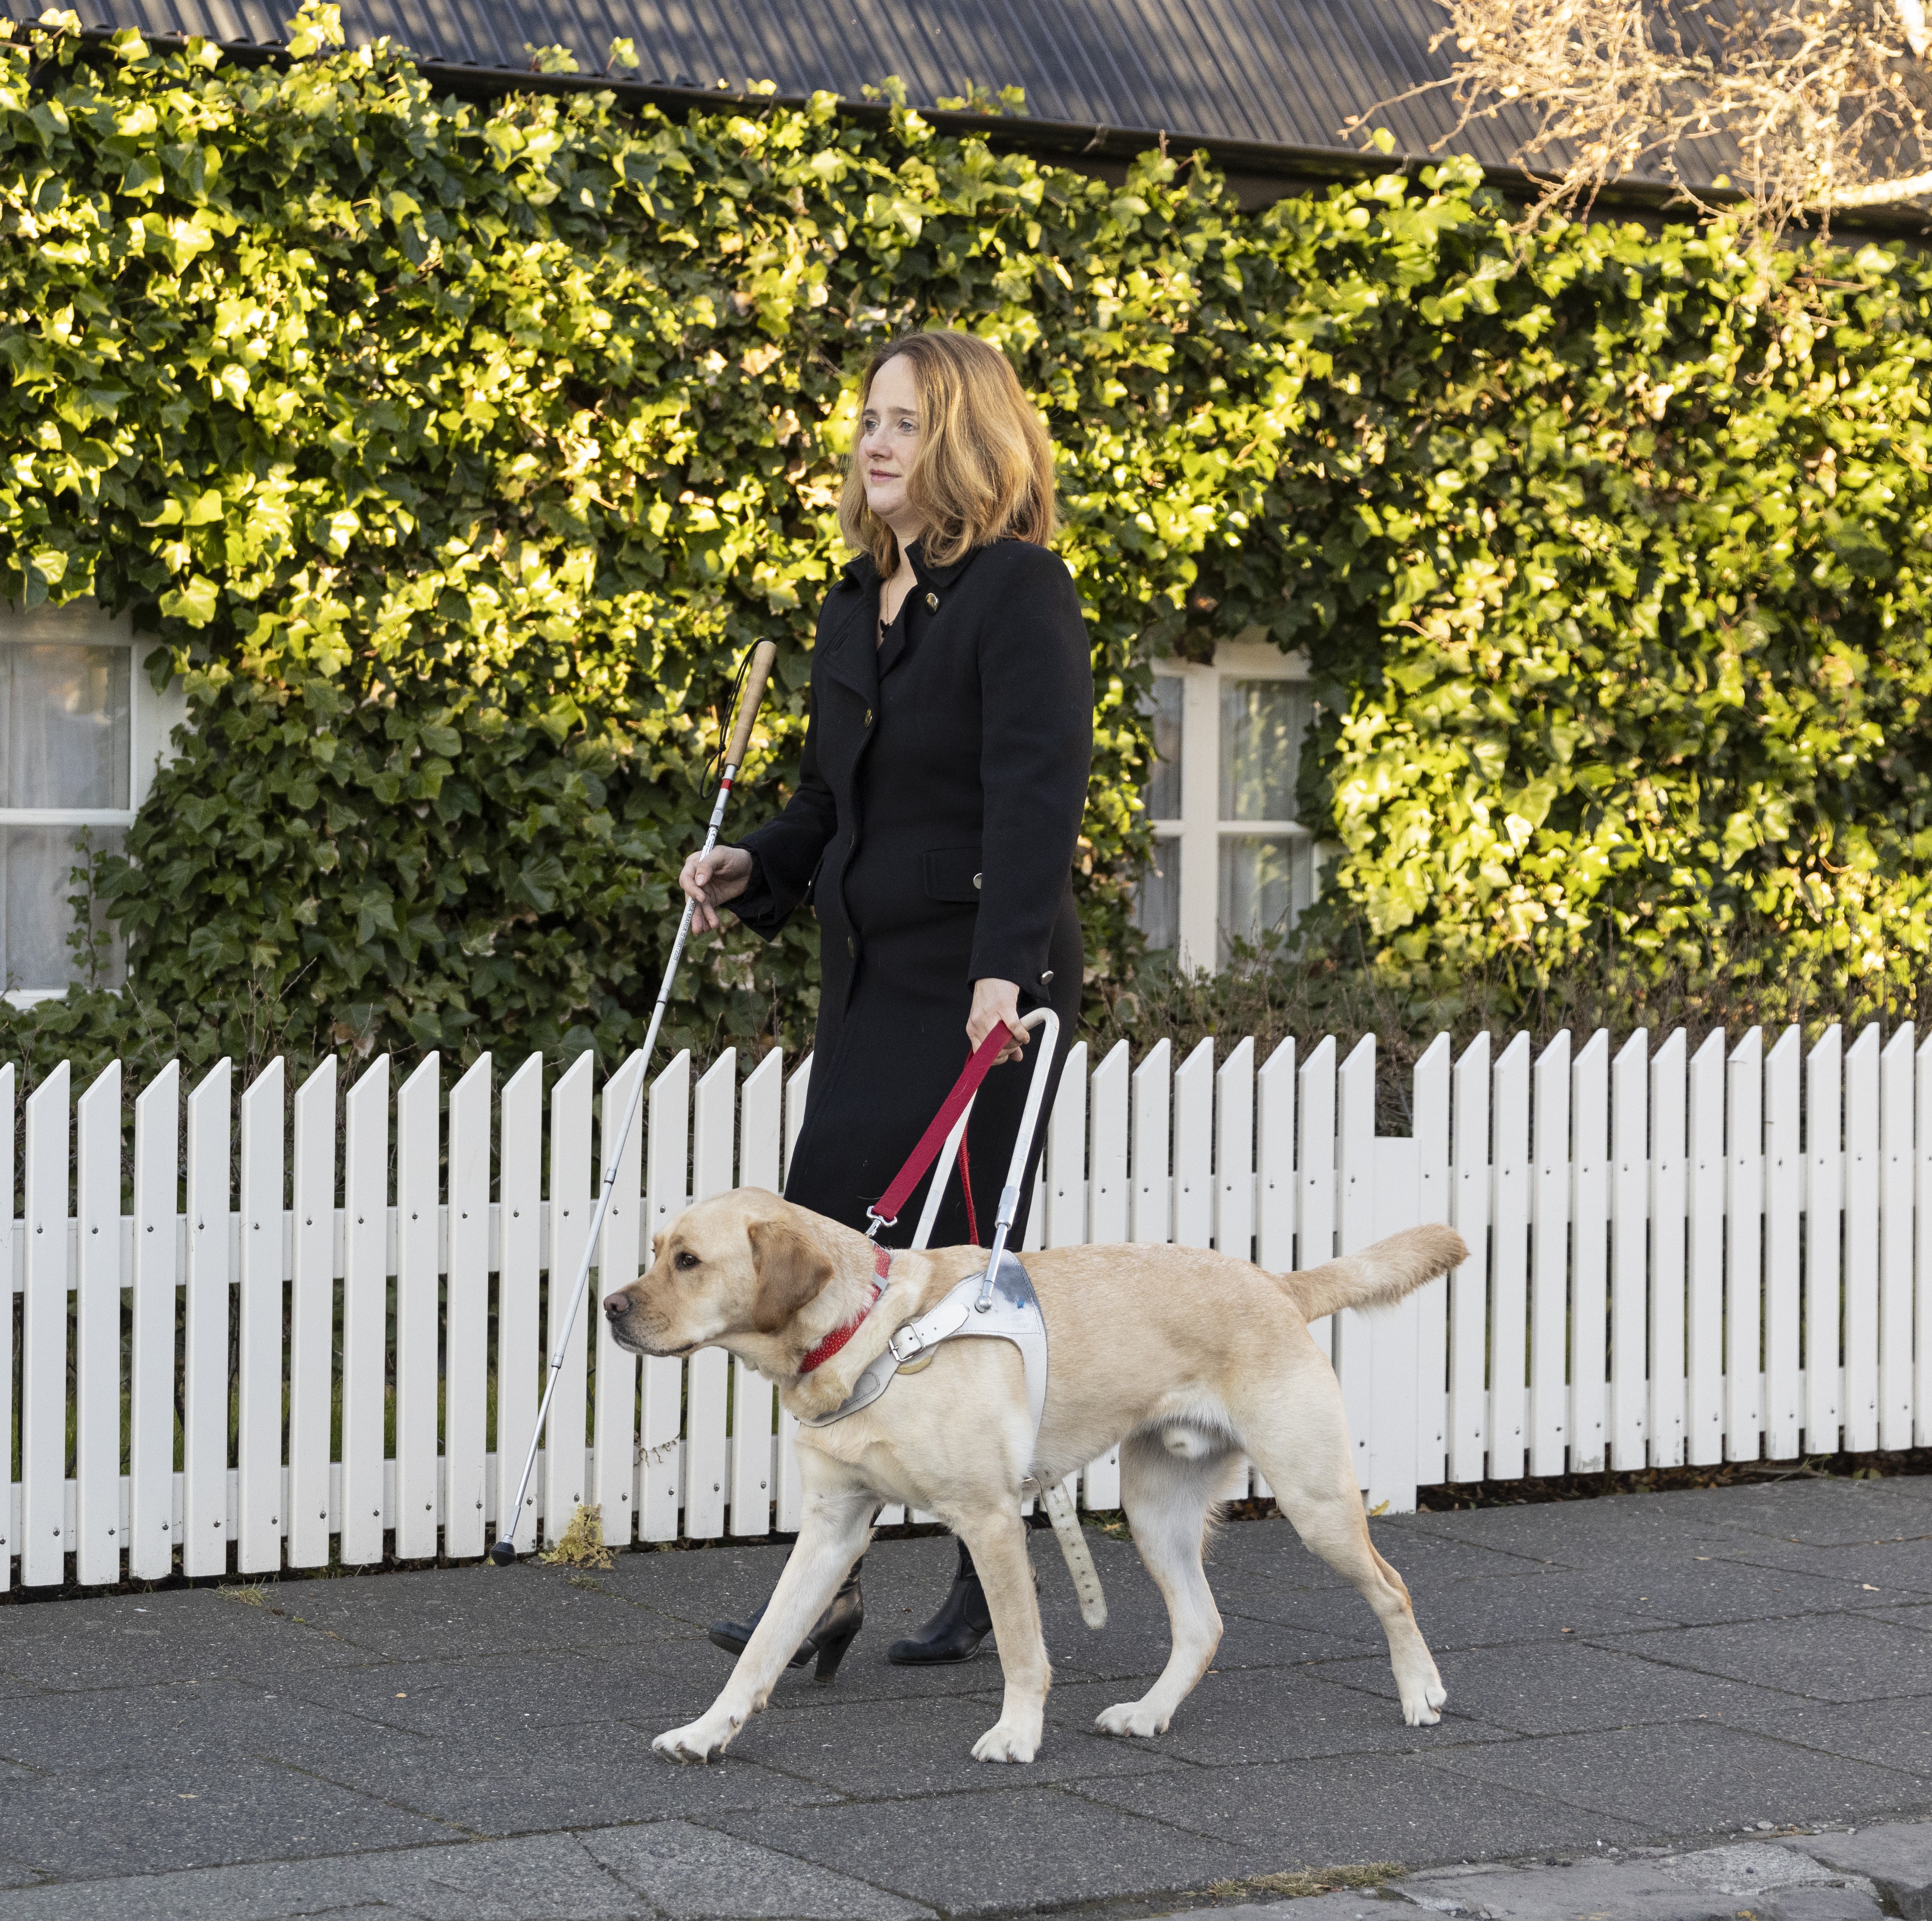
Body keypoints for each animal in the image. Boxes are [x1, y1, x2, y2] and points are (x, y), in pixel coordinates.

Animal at [603, 1190, 1460, 1762]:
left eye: (687, 1261)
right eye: (654, 1249)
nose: (608, 1306)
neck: (870, 1329)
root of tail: (1277, 1284)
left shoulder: (987, 1519)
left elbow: (1020, 1646)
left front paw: (1017, 1734)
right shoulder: (831, 1527)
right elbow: (761, 1649)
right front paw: (706, 1731)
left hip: (1313, 1499)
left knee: (1393, 1587)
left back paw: (1419, 1692)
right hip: (1156, 1513)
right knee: (1202, 1625)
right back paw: (1148, 1713)